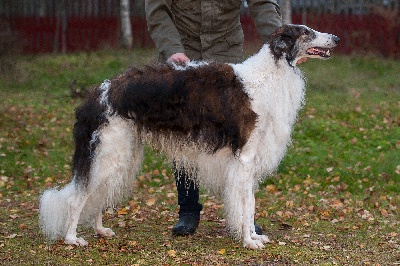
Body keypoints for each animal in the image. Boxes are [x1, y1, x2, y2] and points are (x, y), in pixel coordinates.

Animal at [39, 23, 340, 248]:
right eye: (307, 32)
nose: (336, 38)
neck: (270, 74)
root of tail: (99, 91)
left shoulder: (249, 160)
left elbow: (251, 204)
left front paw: (254, 235)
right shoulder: (244, 158)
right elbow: (246, 204)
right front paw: (248, 240)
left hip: (120, 153)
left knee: (99, 194)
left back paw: (101, 230)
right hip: (108, 152)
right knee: (78, 197)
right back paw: (71, 238)